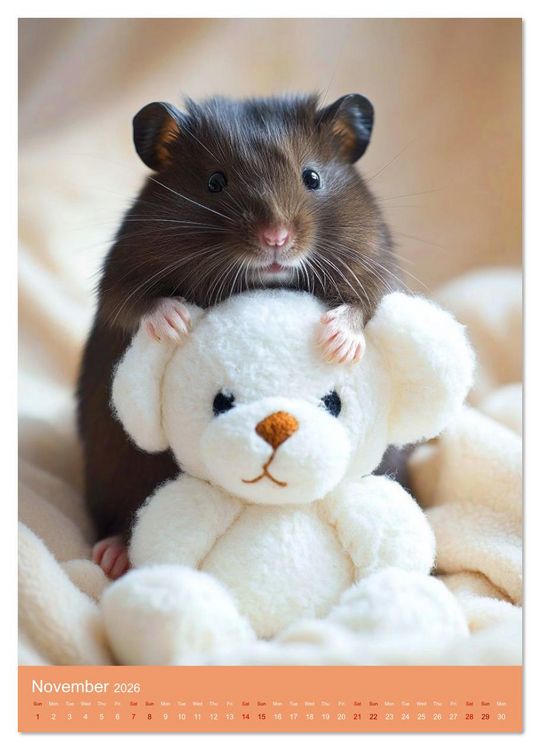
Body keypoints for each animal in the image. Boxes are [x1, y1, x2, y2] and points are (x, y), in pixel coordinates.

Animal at [77, 93, 399, 578]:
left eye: (312, 177)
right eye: (215, 182)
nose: (276, 239)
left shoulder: (374, 259)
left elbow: (365, 304)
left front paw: (336, 344)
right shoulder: (122, 271)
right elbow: (136, 303)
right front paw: (176, 321)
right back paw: (111, 555)